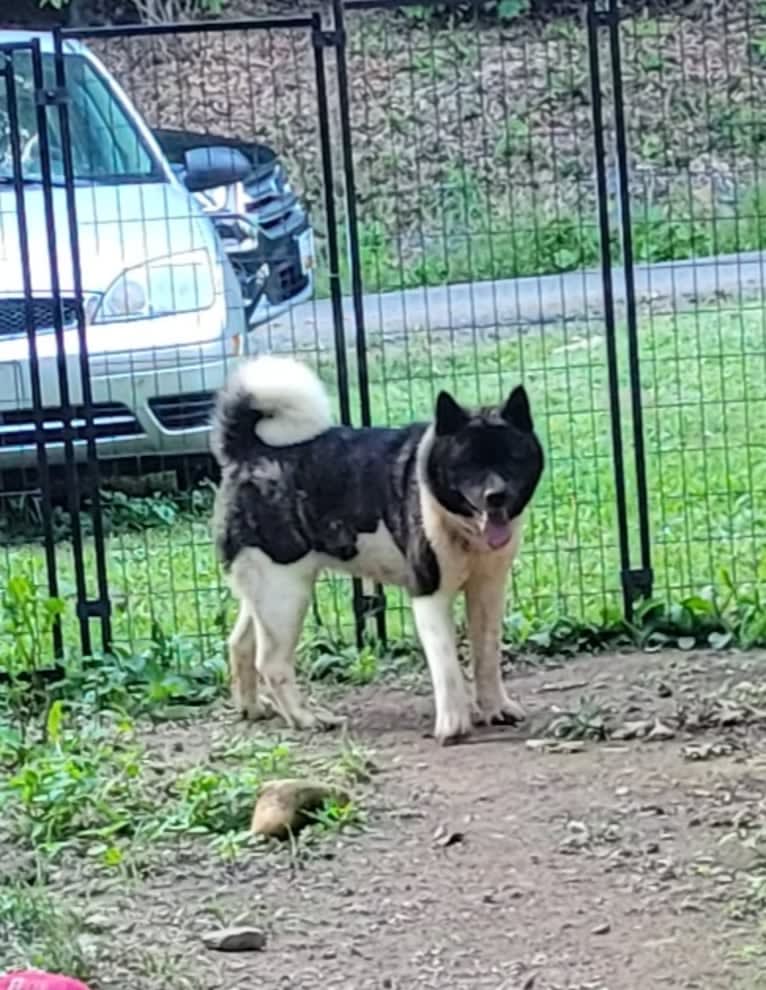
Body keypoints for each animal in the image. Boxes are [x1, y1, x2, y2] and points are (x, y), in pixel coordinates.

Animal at [210, 356, 544, 744]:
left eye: (512, 458)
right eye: (467, 464)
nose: (496, 496)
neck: (460, 525)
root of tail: (247, 450)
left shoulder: (488, 590)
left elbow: (487, 654)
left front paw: (495, 708)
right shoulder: (429, 595)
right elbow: (446, 665)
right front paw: (453, 724)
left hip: (266, 591)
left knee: (240, 645)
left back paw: (253, 708)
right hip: (286, 593)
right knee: (272, 663)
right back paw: (306, 718)